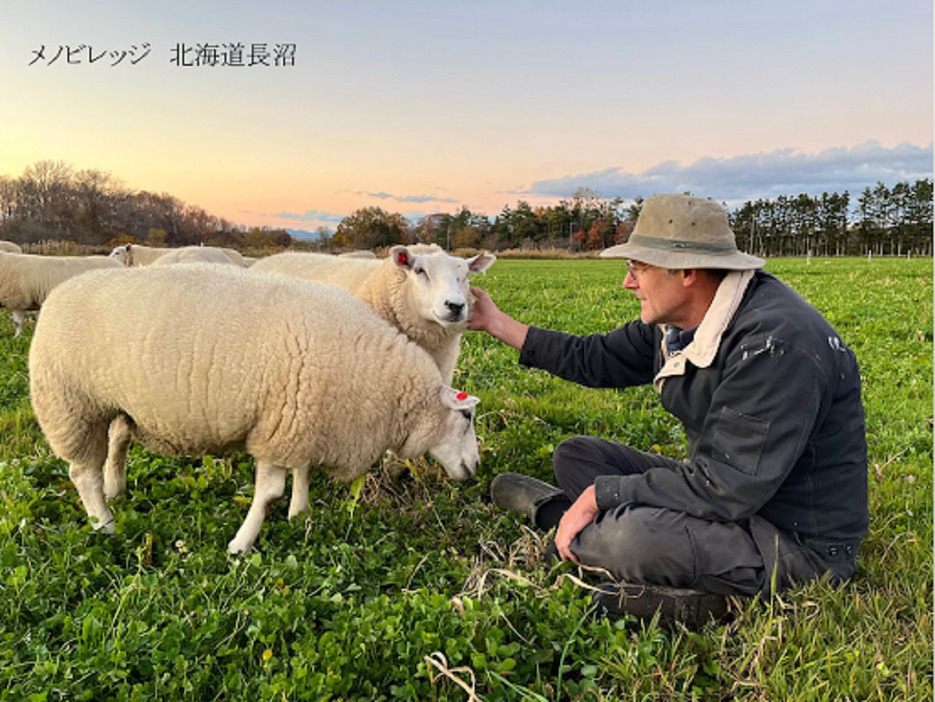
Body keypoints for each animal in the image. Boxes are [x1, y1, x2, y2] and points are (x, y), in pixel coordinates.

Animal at [29, 266, 482, 556]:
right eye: (466, 417)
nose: (477, 467)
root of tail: (58, 293)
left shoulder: (302, 417)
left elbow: (302, 472)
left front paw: (300, 514)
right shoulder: (279, 425)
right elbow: (268, 494)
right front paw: (241, 545)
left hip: (120, 405)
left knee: (117, 442)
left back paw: (116, 491)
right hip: (70, 404)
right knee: (82, 473)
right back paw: (105, 524)